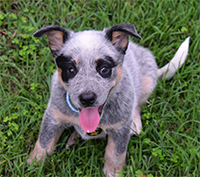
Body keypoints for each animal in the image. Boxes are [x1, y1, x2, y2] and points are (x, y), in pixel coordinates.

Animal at [27, 23, 190, 177]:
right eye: (71, 69)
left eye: (104, 69)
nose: (87, 98)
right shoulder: (53, 117)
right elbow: (43, 143)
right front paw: (33, 165)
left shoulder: (120, 128)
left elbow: (115, 154)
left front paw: (113, 173)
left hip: (147, 82)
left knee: (137, 104)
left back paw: (135, 123)